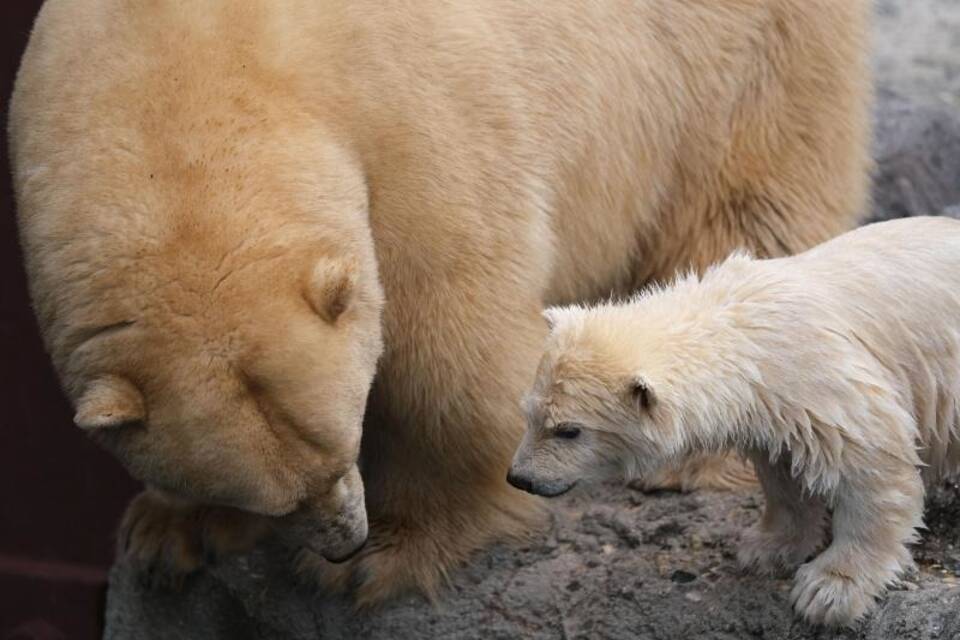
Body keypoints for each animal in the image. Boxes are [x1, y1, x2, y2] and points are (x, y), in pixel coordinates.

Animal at [9, 0, 872, 604]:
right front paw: (171, 531)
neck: (188, 68)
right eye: (274, 493)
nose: (342, 538)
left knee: (743, 210)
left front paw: (388, 555)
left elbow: (449, 334)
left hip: (735, 62)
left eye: (341, 441)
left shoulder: (407, 109)